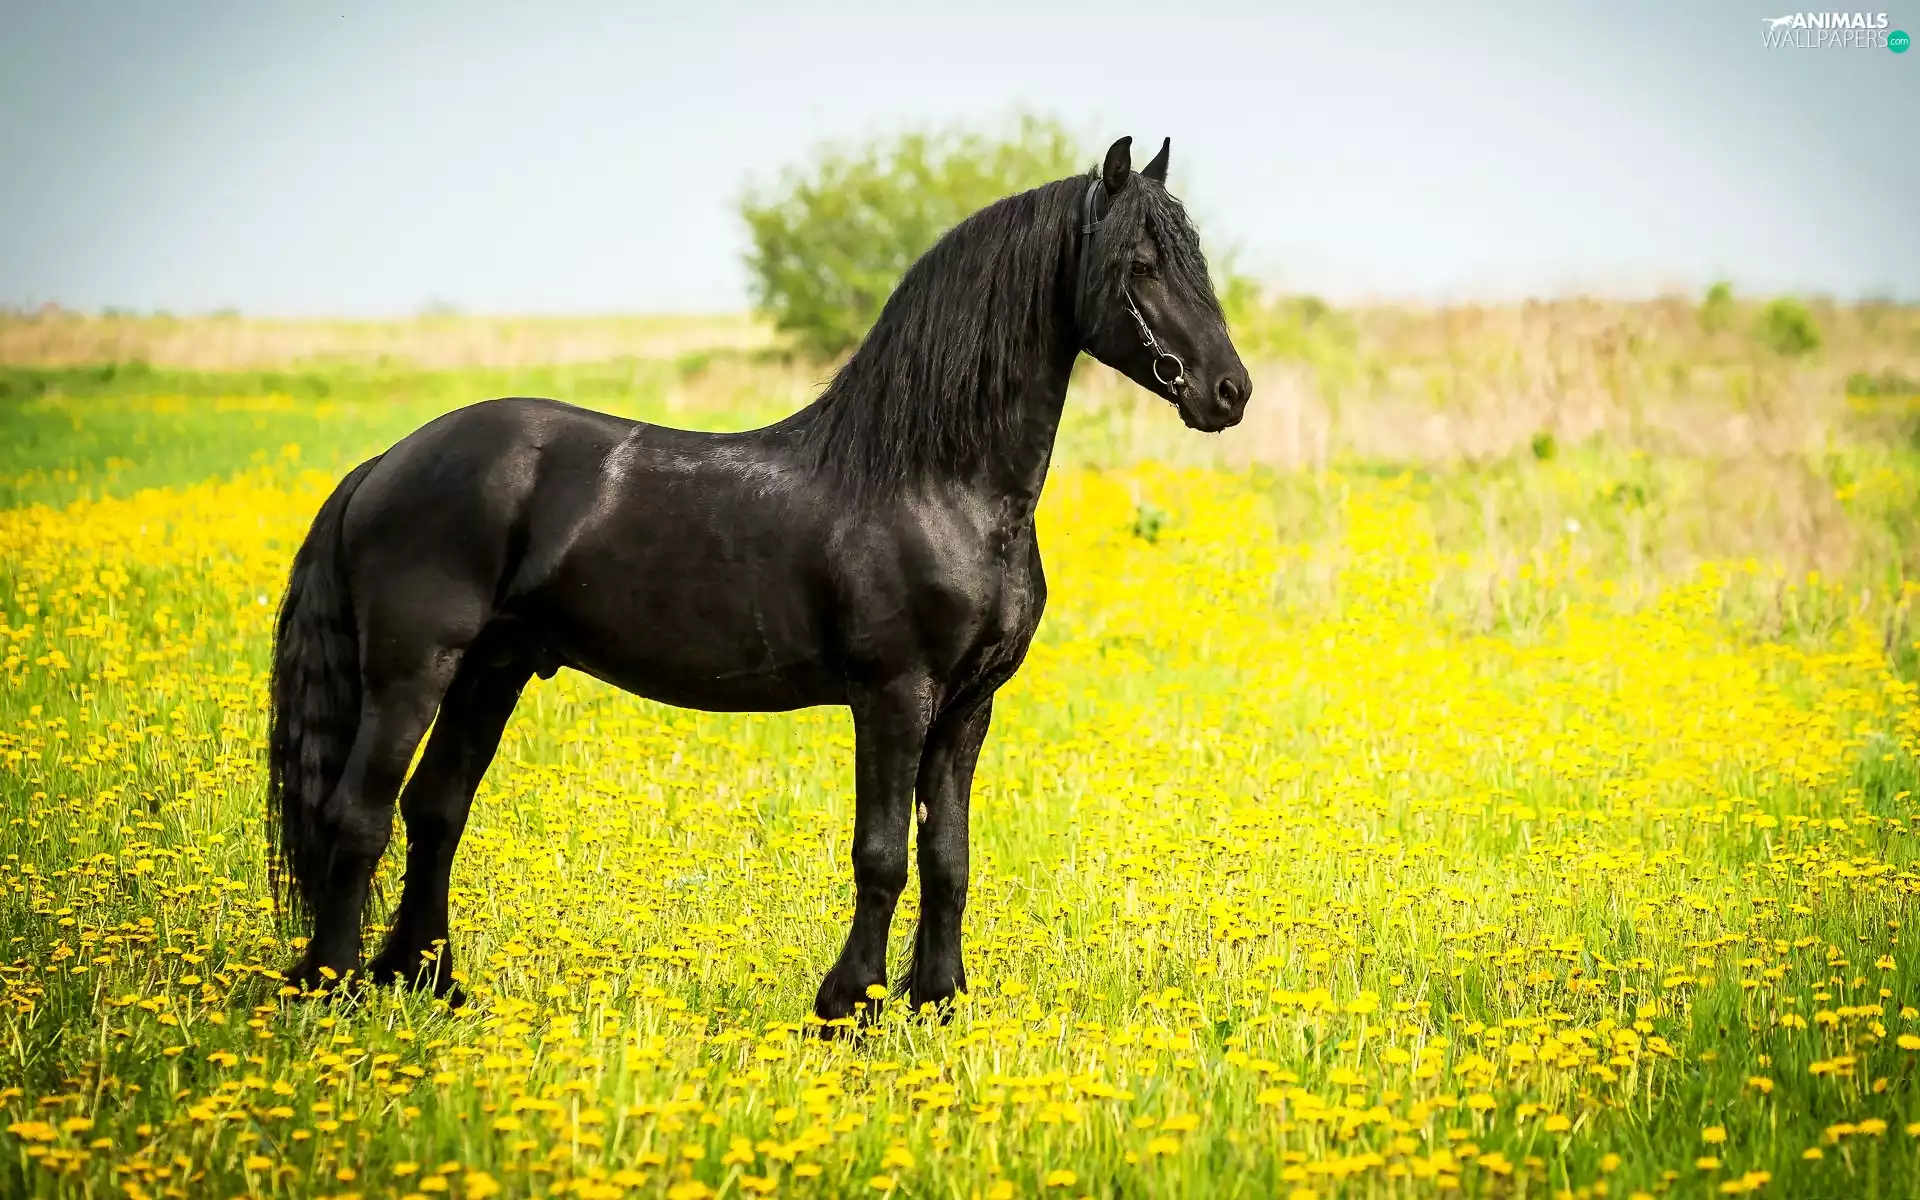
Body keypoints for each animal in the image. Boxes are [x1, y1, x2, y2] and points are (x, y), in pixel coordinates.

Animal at [267, 135, 1250, 1023]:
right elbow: (882, 853)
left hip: (491, 669)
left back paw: (426, 980)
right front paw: (850, 1005)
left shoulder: (970, 706)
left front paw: (938, 1001)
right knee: (361, 813)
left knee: (437, 809)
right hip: (413, 669)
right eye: (1138, 264)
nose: (1229, 392)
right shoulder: (895, 695)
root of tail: (387, 463)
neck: (938, 482)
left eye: (1194, 258)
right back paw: (332, 990)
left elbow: (950, 857)